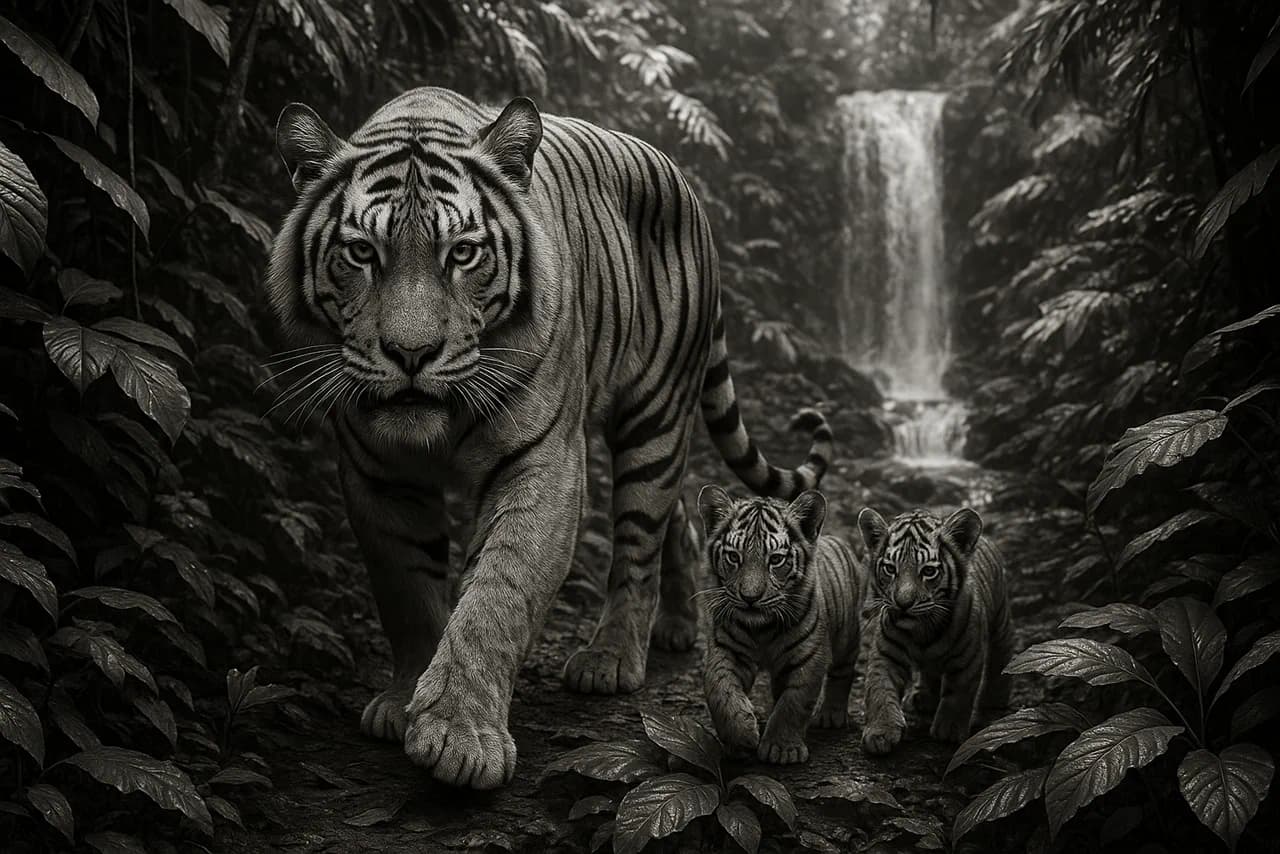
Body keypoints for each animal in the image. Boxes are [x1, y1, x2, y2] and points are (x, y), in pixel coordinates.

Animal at [264, 87, 833, 789]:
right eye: (362, 253)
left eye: (463, 254)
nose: (411, 354)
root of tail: (686, 187)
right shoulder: (376, 475)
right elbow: (407, 590)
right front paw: (403, 702)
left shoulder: (542, 464)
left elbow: (496, 594)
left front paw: (459, 735)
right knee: (679, 515)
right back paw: (677, 626)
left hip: (654, 414)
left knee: (640, 537)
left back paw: (611, 658)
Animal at [697, 484, 865, 765]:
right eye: (733, 557)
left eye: (775, 560)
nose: (750, 598)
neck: (762, 629)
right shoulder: (727, 649)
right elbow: (721, 689)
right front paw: (740, 735)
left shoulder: (809, 658)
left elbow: (794, 703)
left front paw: (782, 749)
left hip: (847, 637)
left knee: (843, 674)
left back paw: (831, 715)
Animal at [856, 507, 1013, 756]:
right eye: (890, 569)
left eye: (928, 571)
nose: (903, 604)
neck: (922, 628)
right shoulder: (886, 653)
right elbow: (879, 689)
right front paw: (880, 733)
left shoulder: (968, 656)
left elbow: (959, 691)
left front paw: (949, 730)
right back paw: (923, 697)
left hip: (1000, 622)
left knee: (1001, 657)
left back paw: (995, 699)